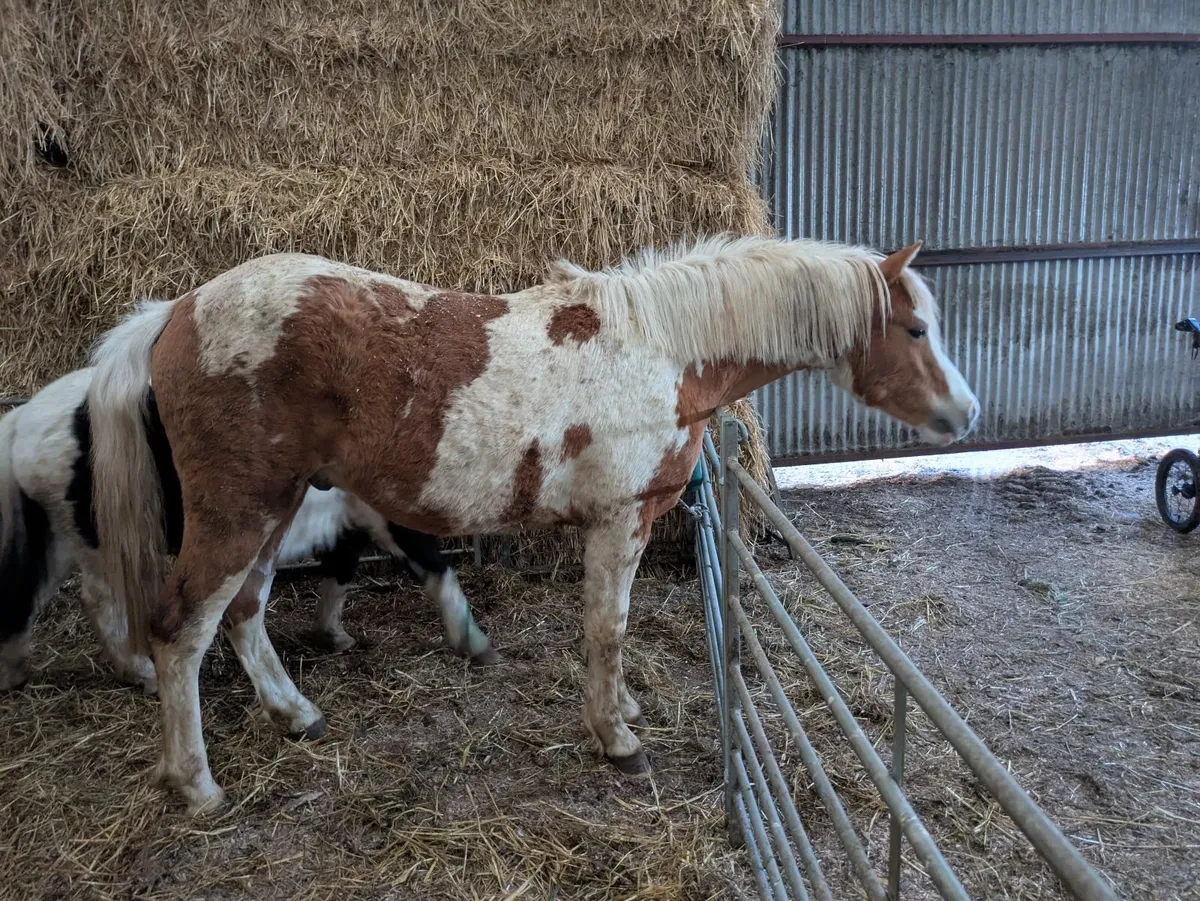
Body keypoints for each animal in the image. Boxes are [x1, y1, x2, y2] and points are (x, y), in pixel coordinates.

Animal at [0, 367, 495, 693]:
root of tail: (23, 420)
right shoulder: (384, 516)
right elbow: (435, 568)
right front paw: (475, 645)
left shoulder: (348, 523)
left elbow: (340, 572)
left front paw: (333, 636)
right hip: (96, 538)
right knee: (97, 600)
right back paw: (142, 673)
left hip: (60, 537)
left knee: (28, 599)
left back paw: (17, 673)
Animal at [86, 234, 978, 814]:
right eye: (915, 328)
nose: (965, 413)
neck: (664, 349)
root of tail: (178, 311)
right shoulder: (618, 520)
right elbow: (608, 627)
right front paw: (614, 736)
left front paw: (622, 712)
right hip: (236, 512)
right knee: (181, 630)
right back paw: (196, 783)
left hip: (272, 509)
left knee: (244, 611)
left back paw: (294, 713)